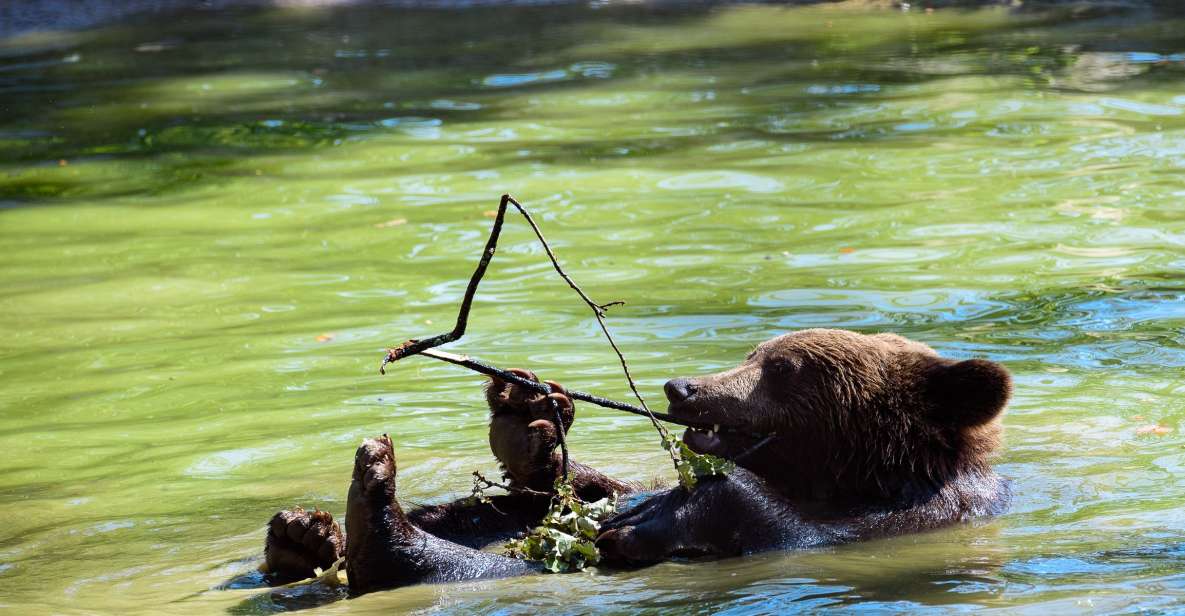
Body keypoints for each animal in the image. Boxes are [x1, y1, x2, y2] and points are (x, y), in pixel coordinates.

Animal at [259, 329, 1009, 594]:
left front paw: (650, 522)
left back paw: (369, 503)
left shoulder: (897, 519)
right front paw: (523, 411)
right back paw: (305, 534)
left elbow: (768, 520)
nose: (683, 386)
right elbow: (582, 491)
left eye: (783, 367)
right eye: (754, 352)